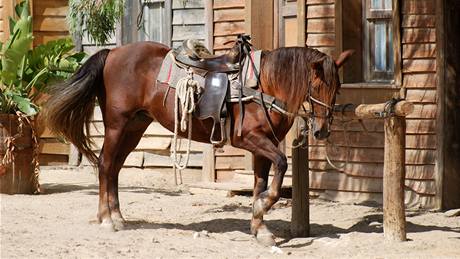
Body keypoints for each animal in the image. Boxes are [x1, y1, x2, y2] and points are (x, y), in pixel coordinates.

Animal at [44, 41, 352, 247]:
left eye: (337, 88)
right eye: (316, 86)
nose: (322, 130)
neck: (263, 85)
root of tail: (112, 53)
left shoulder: (263, 146)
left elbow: (260, 183)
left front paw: (260, 227)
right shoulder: (249, 139)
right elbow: (281, 166)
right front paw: (261, 210)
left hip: (134, 127)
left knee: (115, 169)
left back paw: (118, 217)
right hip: (117, 126)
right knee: (106, 165)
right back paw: (107, 219)